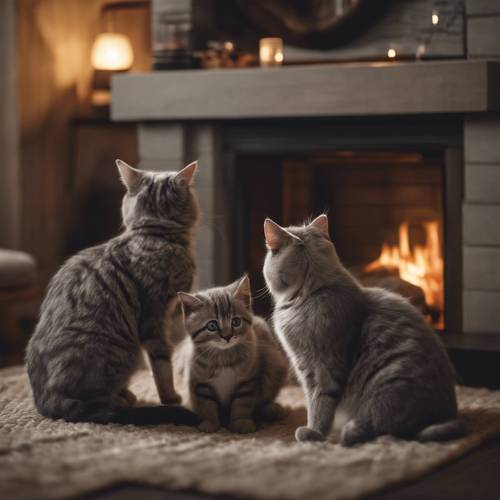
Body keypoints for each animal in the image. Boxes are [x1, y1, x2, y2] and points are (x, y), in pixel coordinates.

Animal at [24, 160, 201, 426]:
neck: (154, 234)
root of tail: (46, 399)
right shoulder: (155, 318)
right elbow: (161, 364)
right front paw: (170, 397)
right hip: (121, 352)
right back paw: (121, 399)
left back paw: (125, 394)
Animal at [178, 278, 288, 434]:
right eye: (212, 326)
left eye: (235, 322)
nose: (227, 336)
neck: (223, 357)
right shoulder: (201, 384)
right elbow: (207, 405)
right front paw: (210, 423)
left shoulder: (247, 382)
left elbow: (242, 404)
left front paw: (240, 422)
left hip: (275, 364)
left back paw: (271, 410)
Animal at [264, 215, 462, 446]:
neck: (314, 292)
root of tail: (448, 415)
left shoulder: (319, 367)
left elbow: (318, 404)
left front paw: (313, 433)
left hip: (387, 383)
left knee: (385, 429)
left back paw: (348, 432)